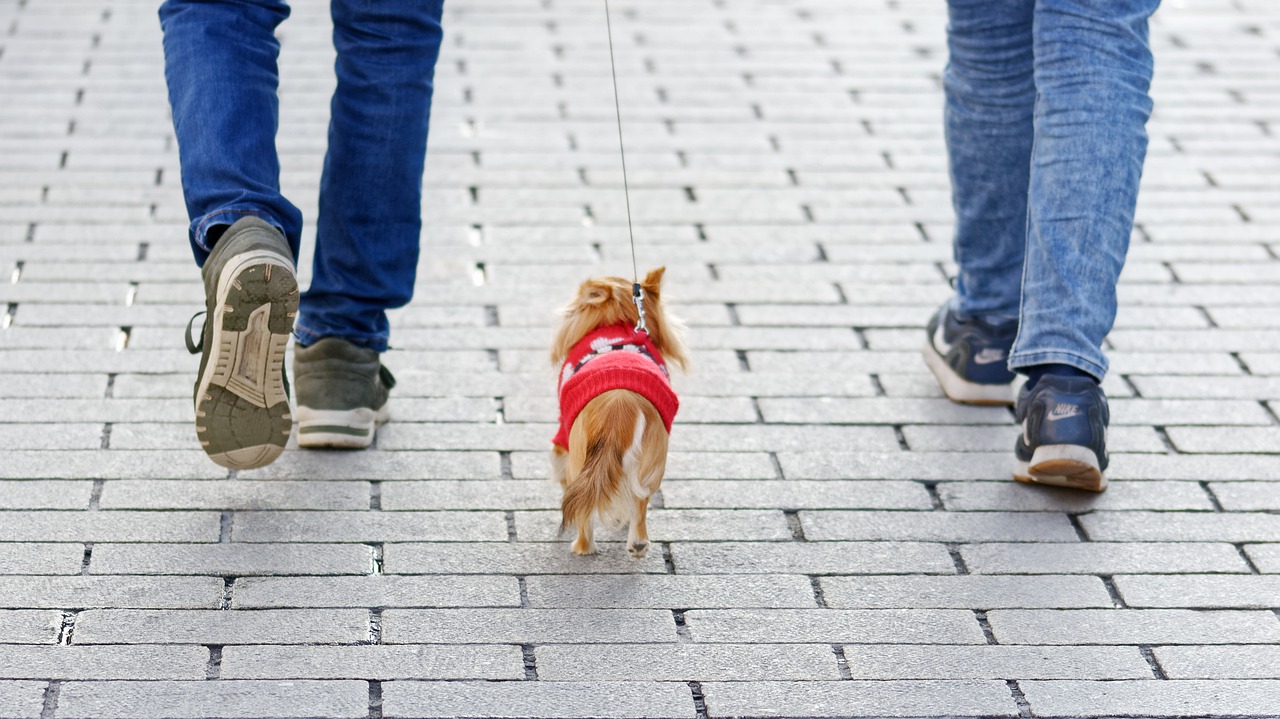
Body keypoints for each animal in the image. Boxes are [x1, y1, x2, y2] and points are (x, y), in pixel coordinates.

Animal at [550, 267, 691, 555]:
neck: (618, 321)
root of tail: (620, 408)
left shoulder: (562, 439)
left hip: (578, 458)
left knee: (585, 511)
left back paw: (581, 547)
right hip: (652, 464)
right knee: (640, 500)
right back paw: (637, 545)